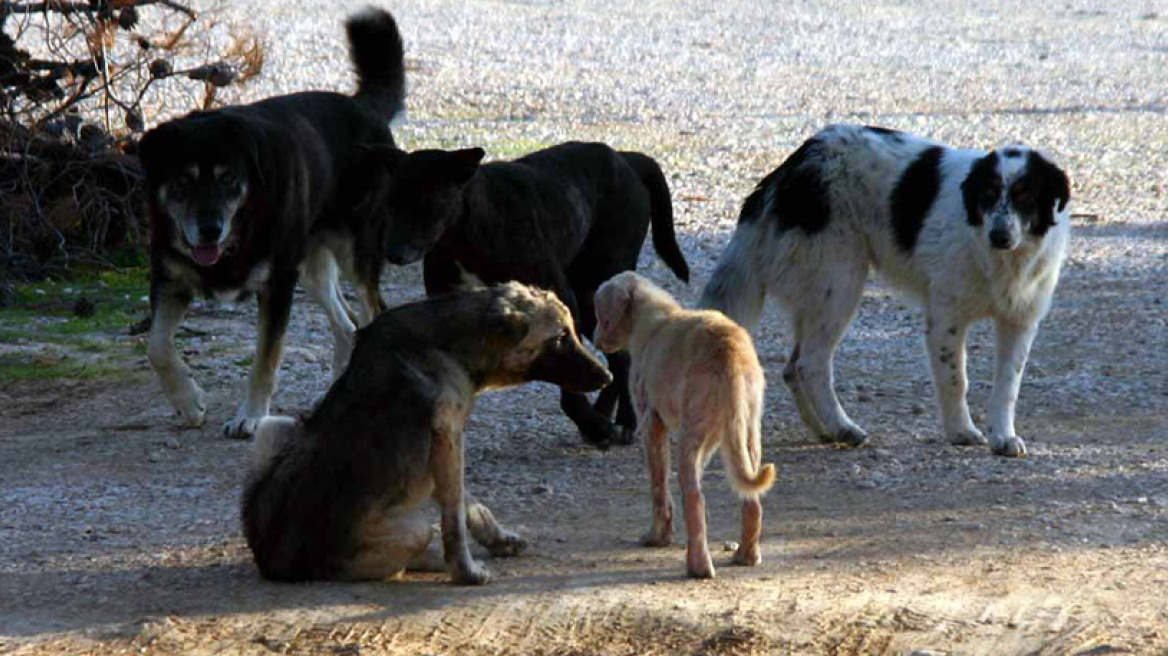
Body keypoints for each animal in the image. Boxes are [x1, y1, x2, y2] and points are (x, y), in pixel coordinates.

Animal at [138, 7, 406, 436]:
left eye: (228, 180)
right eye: (182, 181)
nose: (209, 230)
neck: (239, 228)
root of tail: (362, 107)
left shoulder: (277, 285)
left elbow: (265, 360)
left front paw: (250, 416)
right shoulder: (170, 281)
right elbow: (157, 347)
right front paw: (189, 403)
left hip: (354, 252)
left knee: (372, 311)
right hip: (312, 268)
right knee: (348, 327)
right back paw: (332, 395)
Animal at [242, 281, 616, 581]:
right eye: (560, 337)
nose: (608, 377)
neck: (450, 344)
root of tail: (272, 562)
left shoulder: (445, 448)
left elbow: (470, 505)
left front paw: (499, 541)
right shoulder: (448, 438)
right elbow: (455, 519)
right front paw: (465, 572)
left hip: (275, 427)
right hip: (411, 531)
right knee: (401, 558)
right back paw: (432, 559)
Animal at [366, 141, 691, 448]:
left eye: (428, 202)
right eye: (389, 203)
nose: (391, 252)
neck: (467, 231)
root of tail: (626, 158)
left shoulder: (562, 301)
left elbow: (570, 379)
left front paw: (593, 425)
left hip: (596, 288)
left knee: (622, 357)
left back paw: (623, 421)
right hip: (591, 302)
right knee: (617, 357)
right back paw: (605, 413)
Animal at [593, 270, 775, 576]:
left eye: (600, 315)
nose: (594, 339)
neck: (654, 317)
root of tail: (731, 354)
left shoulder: (651, 423)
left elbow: (659, 487)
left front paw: (657, 537)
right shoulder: (713, 439)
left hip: (691, 437)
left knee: (694, 498)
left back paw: (698, 566)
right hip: (746, 434)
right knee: (751, 501)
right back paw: (747, 556)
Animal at [696, 124, 1069, 457]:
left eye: (1025, 195)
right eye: (988, 194)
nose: (999, 236)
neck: (1001, 259)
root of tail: (794, 164)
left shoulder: (1019, 322)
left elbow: (1008, 386)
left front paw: (1003, 437)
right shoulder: (946, 320)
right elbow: (955, 380)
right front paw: (961, 431)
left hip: (818, 293)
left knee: (792, 368)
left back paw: (823, 430)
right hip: (840, 283)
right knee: (810, 363)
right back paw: (842, 427)